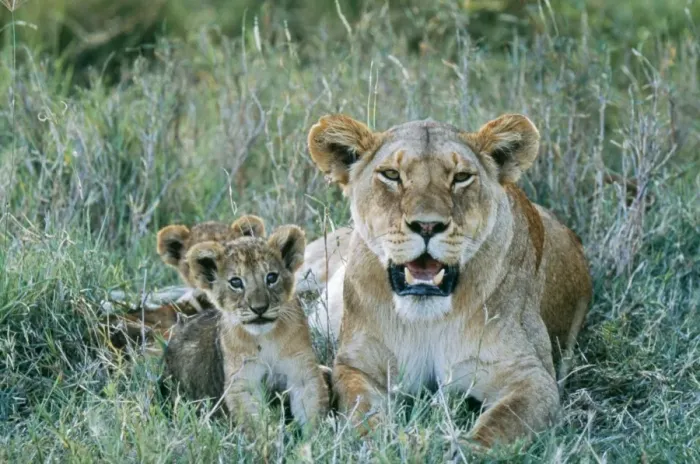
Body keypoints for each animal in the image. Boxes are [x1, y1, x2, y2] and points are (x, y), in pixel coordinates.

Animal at [167, 225, 330, 427]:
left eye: (271, 277)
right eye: (236, 282)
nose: (259, 308)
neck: (265, 338)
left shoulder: (302, 372)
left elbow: (311, 412)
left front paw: (314, 435)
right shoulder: (241, 382)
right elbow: (255, 422)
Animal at [304, 113, 592, 447]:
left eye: (461, 177)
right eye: (391, 174)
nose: (427, 226)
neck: (426, 317)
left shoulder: (532, 376)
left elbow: (501, 425)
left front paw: (462, 447)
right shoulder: (357, 364)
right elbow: (362, 412)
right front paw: (384, 441)